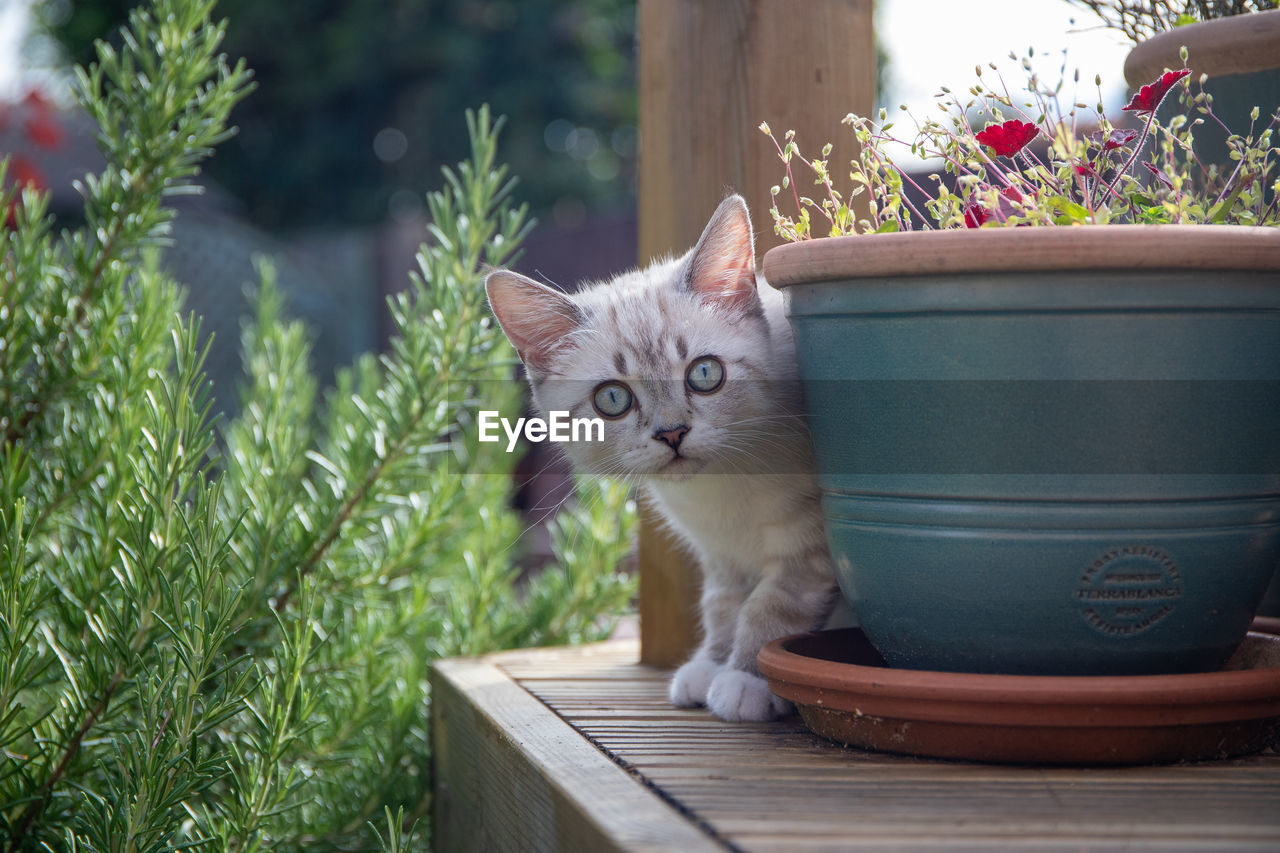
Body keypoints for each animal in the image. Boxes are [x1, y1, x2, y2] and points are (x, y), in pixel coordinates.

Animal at [481, 192, 839, 717]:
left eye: (705, 374)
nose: (672, 434)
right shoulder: (719, 554)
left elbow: (771, 605)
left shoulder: (808, 543)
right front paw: (711, 664)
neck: (719, 494)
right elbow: (722, 605)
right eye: (613, 399)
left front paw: (746, 678)